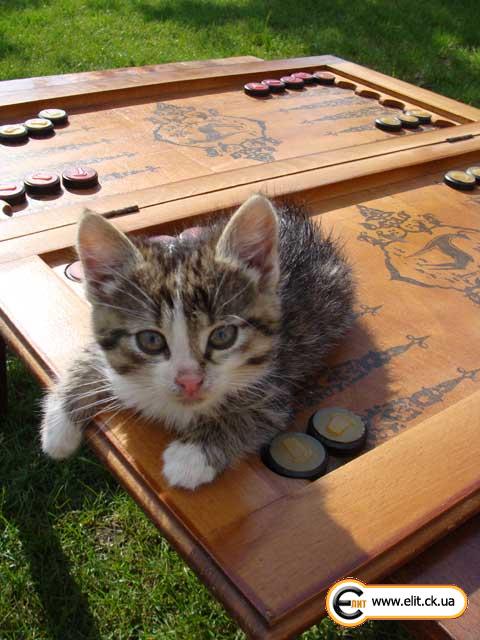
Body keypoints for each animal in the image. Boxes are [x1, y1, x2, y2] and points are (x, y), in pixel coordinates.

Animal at [40, 194, 355, 489]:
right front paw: (57, 428)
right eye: (150, 340)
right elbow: (88, 360)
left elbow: (253, 415)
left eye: (223, 336)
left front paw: (191, 457)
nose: (189, 381)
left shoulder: (275, 386)